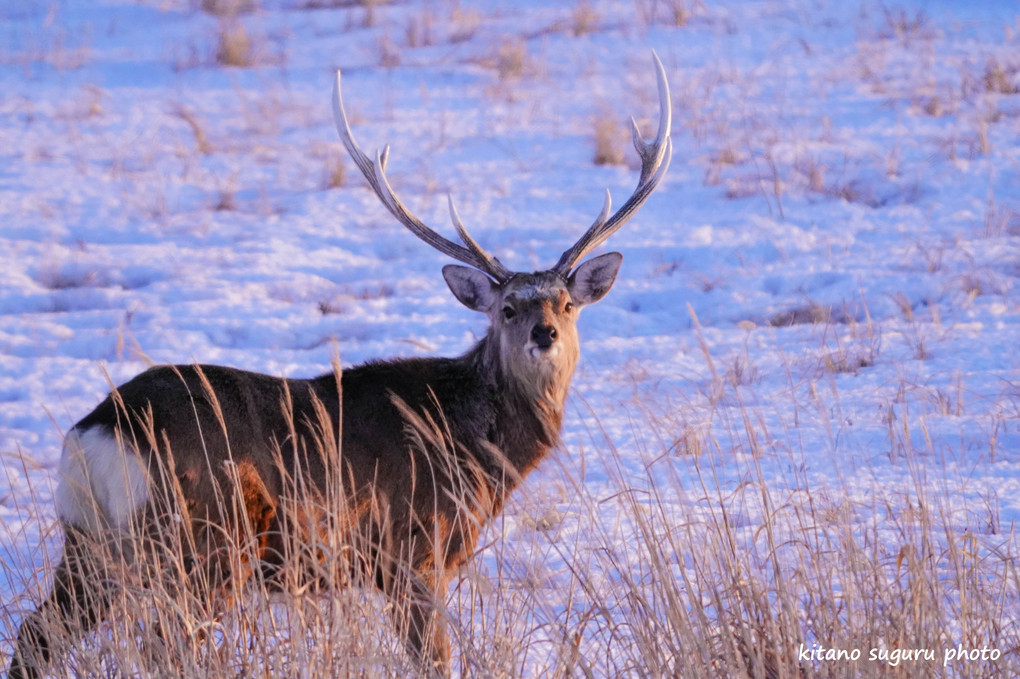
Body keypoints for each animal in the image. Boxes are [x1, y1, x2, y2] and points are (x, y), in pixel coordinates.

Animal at [7, 53, 673, 676]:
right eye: (507, 307)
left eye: (566, 302)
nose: (544, 333)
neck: (471, 445)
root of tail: (97, 432)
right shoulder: (411, 551)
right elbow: (434, 660)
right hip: (204, 542)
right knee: (161, 645)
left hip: (91, 545)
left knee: (38, 634)